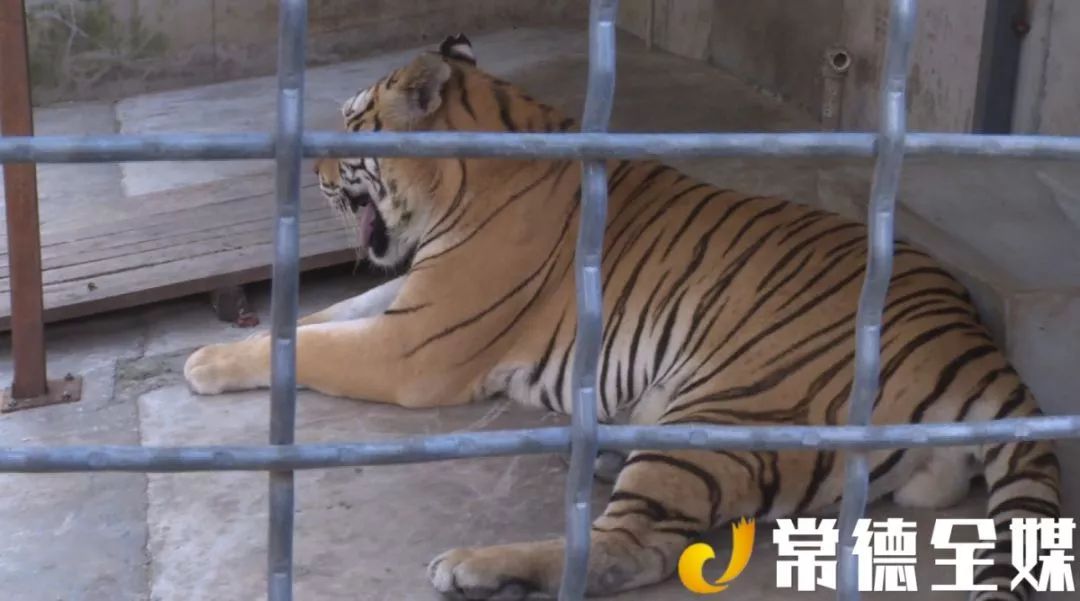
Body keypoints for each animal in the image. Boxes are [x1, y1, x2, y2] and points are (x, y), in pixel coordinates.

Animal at [181, 34, 1058, 601]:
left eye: (350, 126)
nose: (315, 173)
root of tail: (978, 346)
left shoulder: (417, 344)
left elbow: (320, 346)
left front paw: (203, 363)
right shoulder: (408, 300)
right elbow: (320, 319)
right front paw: (214, 353)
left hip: (730, 406)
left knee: (629, 549)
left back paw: (475, 566)